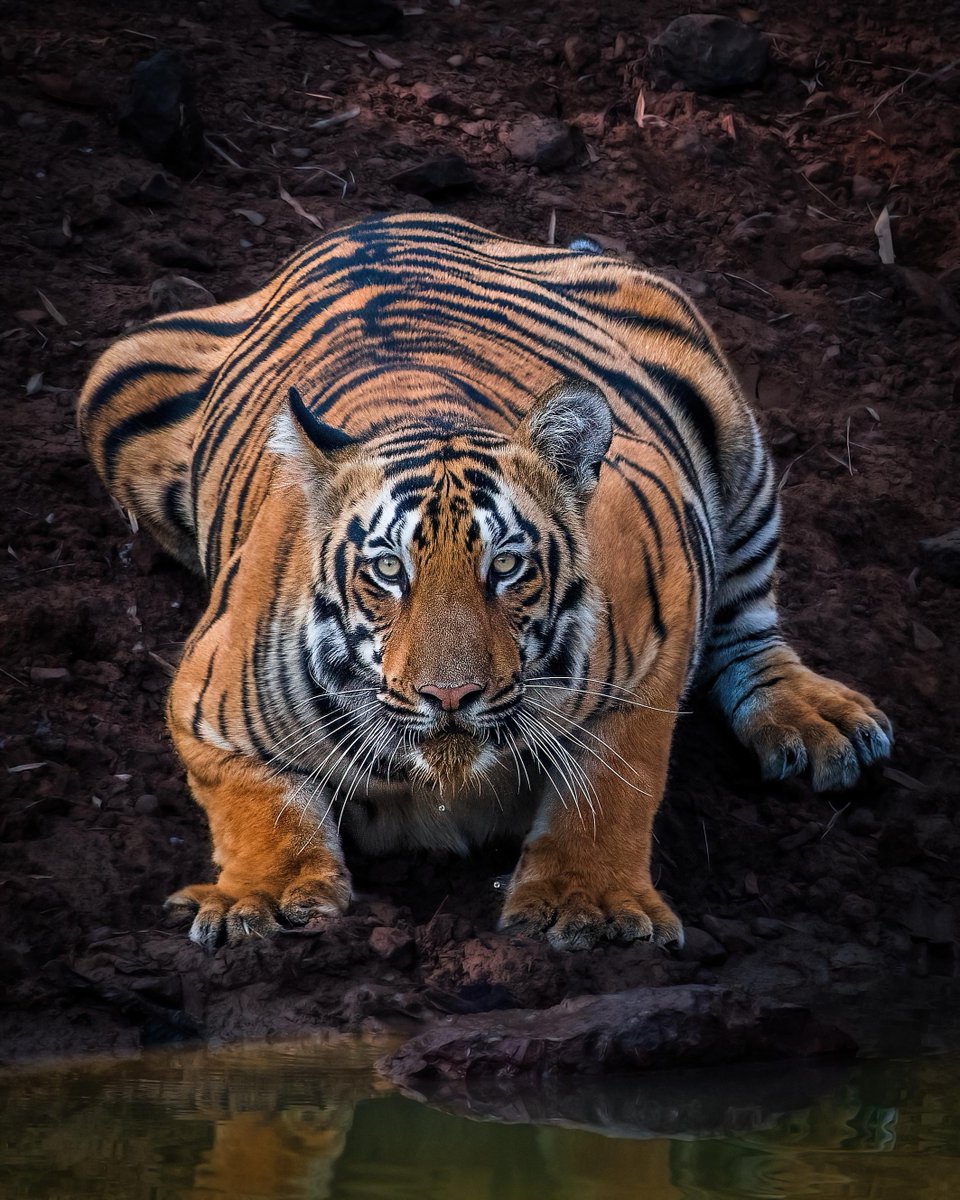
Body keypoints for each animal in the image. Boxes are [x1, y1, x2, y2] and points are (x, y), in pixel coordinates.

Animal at [77, 212, 892, 952]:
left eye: (505, 566)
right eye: (388, 570)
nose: (450, 697)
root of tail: (373, 222)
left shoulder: (661, 601)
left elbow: (613, 780)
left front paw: (587, 901)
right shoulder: (203, 702)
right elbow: (259, 802)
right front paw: (264, 897)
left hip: (724, 421)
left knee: (752, 615)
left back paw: (816, 723)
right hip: (117, 380)